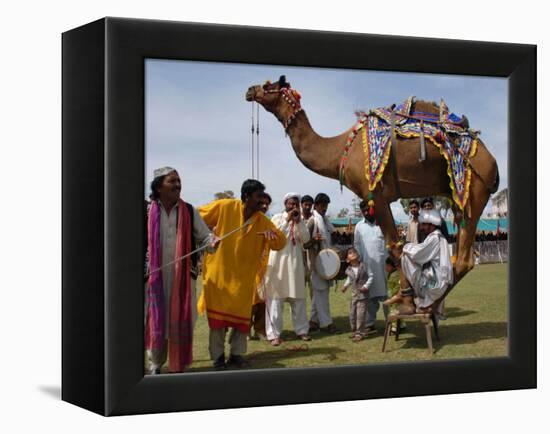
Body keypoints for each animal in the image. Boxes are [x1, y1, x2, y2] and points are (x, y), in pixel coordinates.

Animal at [248, 77, 502, 294]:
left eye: (269, 85)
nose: (250, 90)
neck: (341, 150)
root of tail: (493, 163)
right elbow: (395, 246)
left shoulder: (375, 192)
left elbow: (395, 245)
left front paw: (405, 295)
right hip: (459, 196)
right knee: (460, 252)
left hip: (475, 188)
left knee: (464, 259)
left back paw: (427, 302)